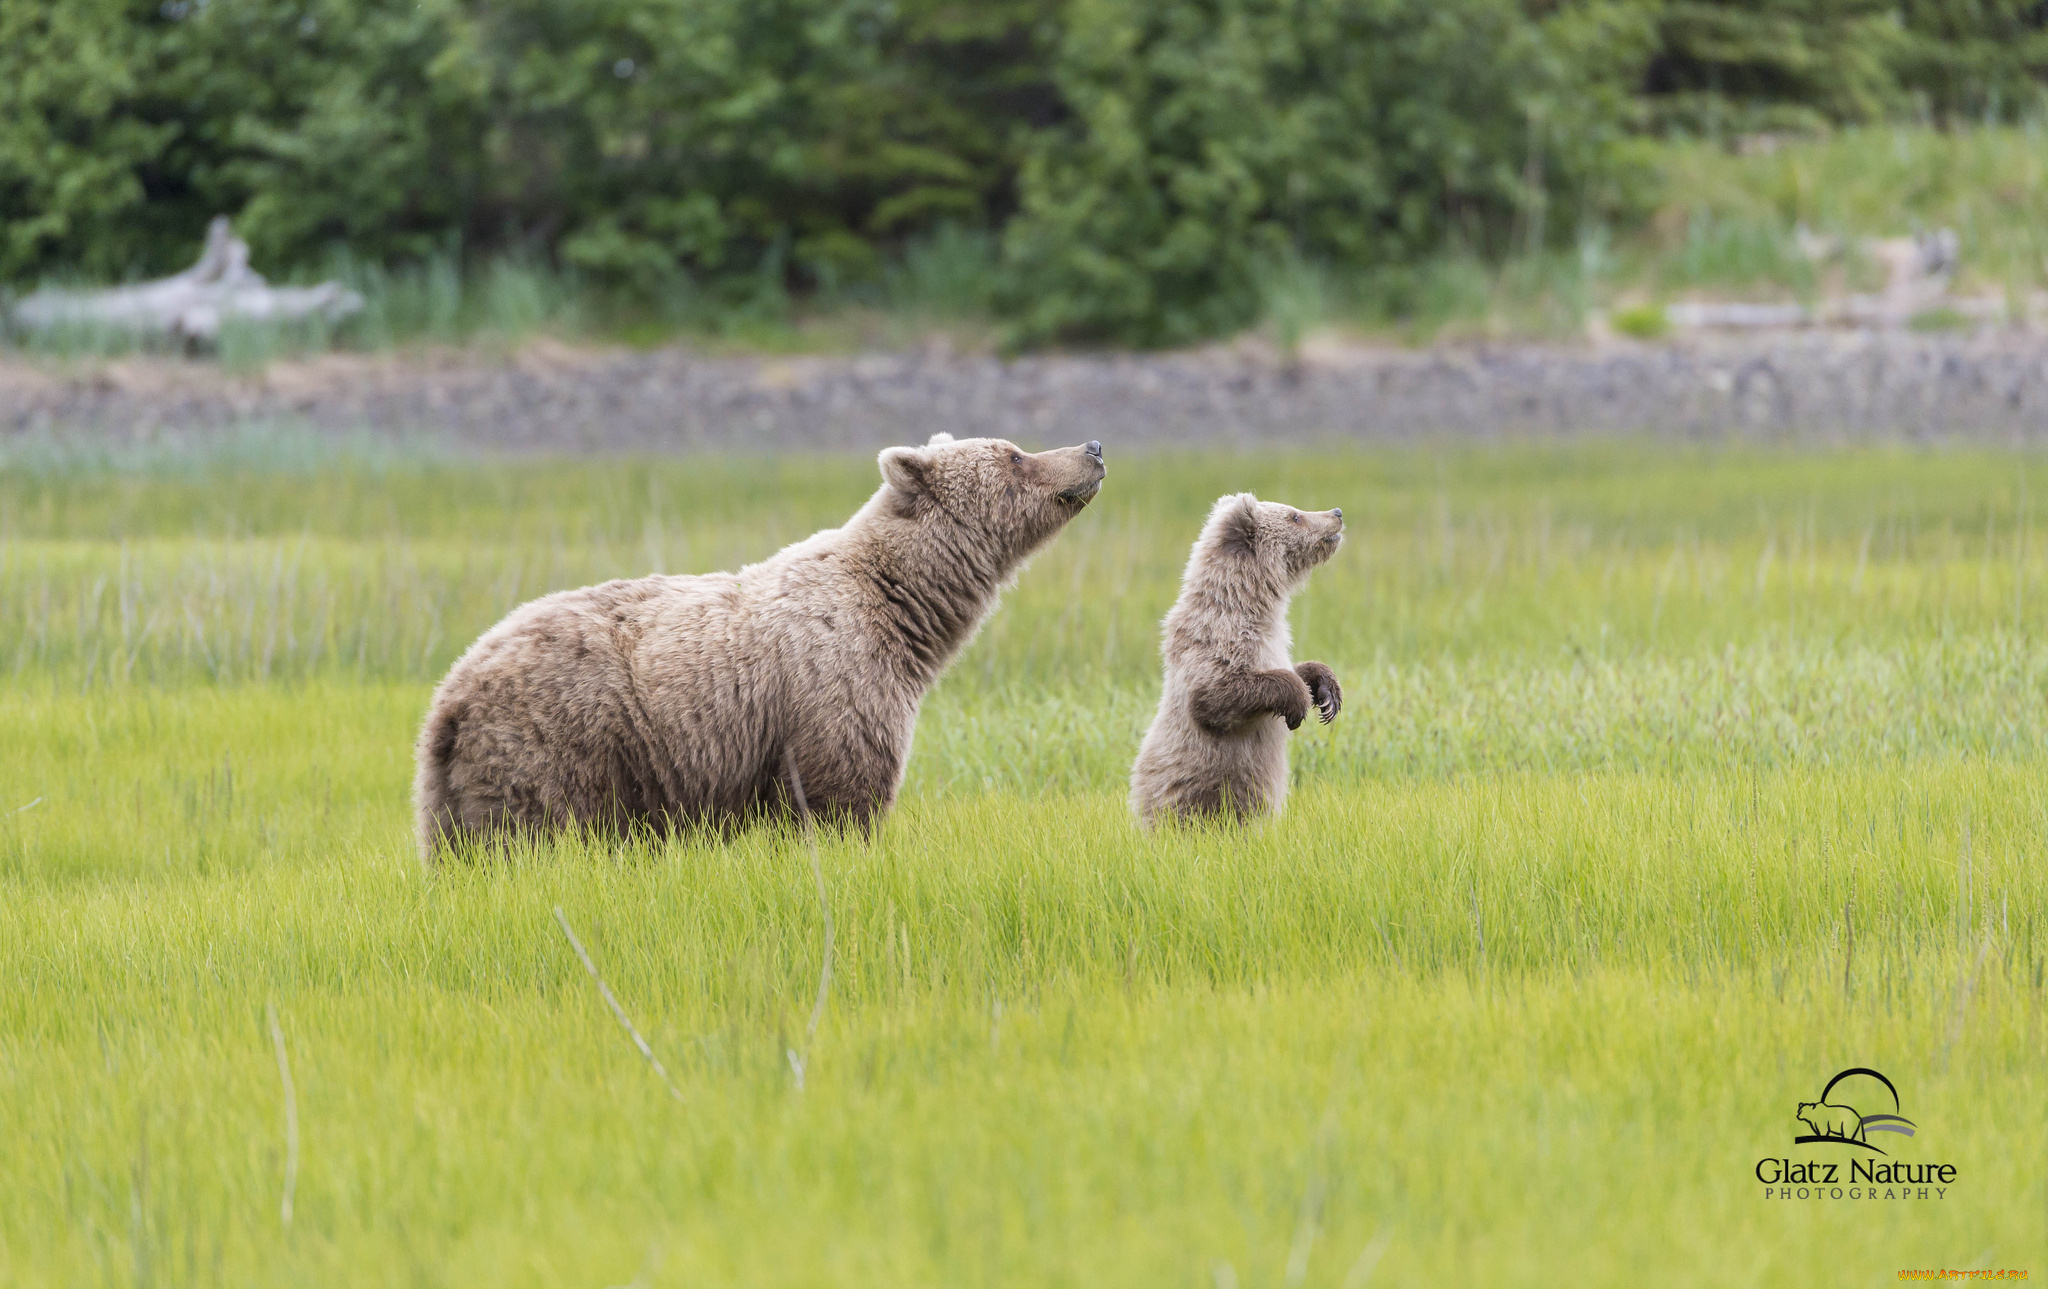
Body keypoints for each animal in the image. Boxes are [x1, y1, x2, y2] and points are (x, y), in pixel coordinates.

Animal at [413, 432, 1105, 856]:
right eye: (1014, 455)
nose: (1093, 448)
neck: (905, 612)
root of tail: (451, 693)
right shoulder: (834, 688)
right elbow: (840, 797)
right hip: (558, 744)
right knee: (533, 841)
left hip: (454, 793)